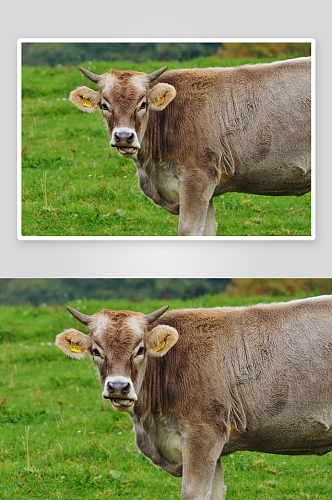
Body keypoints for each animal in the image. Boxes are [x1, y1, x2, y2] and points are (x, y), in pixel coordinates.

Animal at [69, 55, 312, 235]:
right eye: (105, 105)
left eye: (143, 104)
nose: (123, 137)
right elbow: (208, 229)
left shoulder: (197, 179)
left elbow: (189, 230)